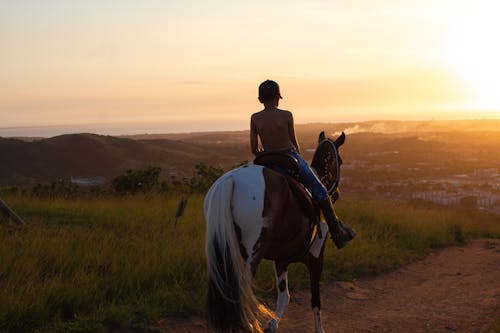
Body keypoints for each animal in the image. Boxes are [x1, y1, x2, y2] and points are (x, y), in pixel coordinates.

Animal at [205, 131, 346, 330]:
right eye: (339, 160)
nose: (336, 193)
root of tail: (231, 180)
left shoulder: (281, 260)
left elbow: (284, 296)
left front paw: (273, 324)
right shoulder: (316, 255)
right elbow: (315, 299)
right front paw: (319, 329)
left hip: (225, 252)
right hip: (250, 256)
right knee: (242, 293)